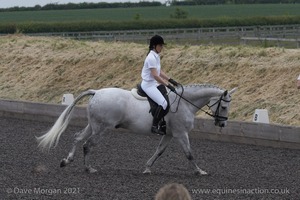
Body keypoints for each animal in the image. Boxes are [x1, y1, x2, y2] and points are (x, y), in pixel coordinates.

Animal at [36, 84, 237, 175]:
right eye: (224, 106)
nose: (222, 124)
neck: (185, 103)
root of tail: (96, 92)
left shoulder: (169, 134)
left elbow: (159, 151)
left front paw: (147, 168)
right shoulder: (181, 133)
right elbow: (189, 154)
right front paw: (199, 171)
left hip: (93, 125)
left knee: (78, 138)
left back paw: (66, 161)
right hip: (102, 128)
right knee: (87, 144)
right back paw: (89, 168)